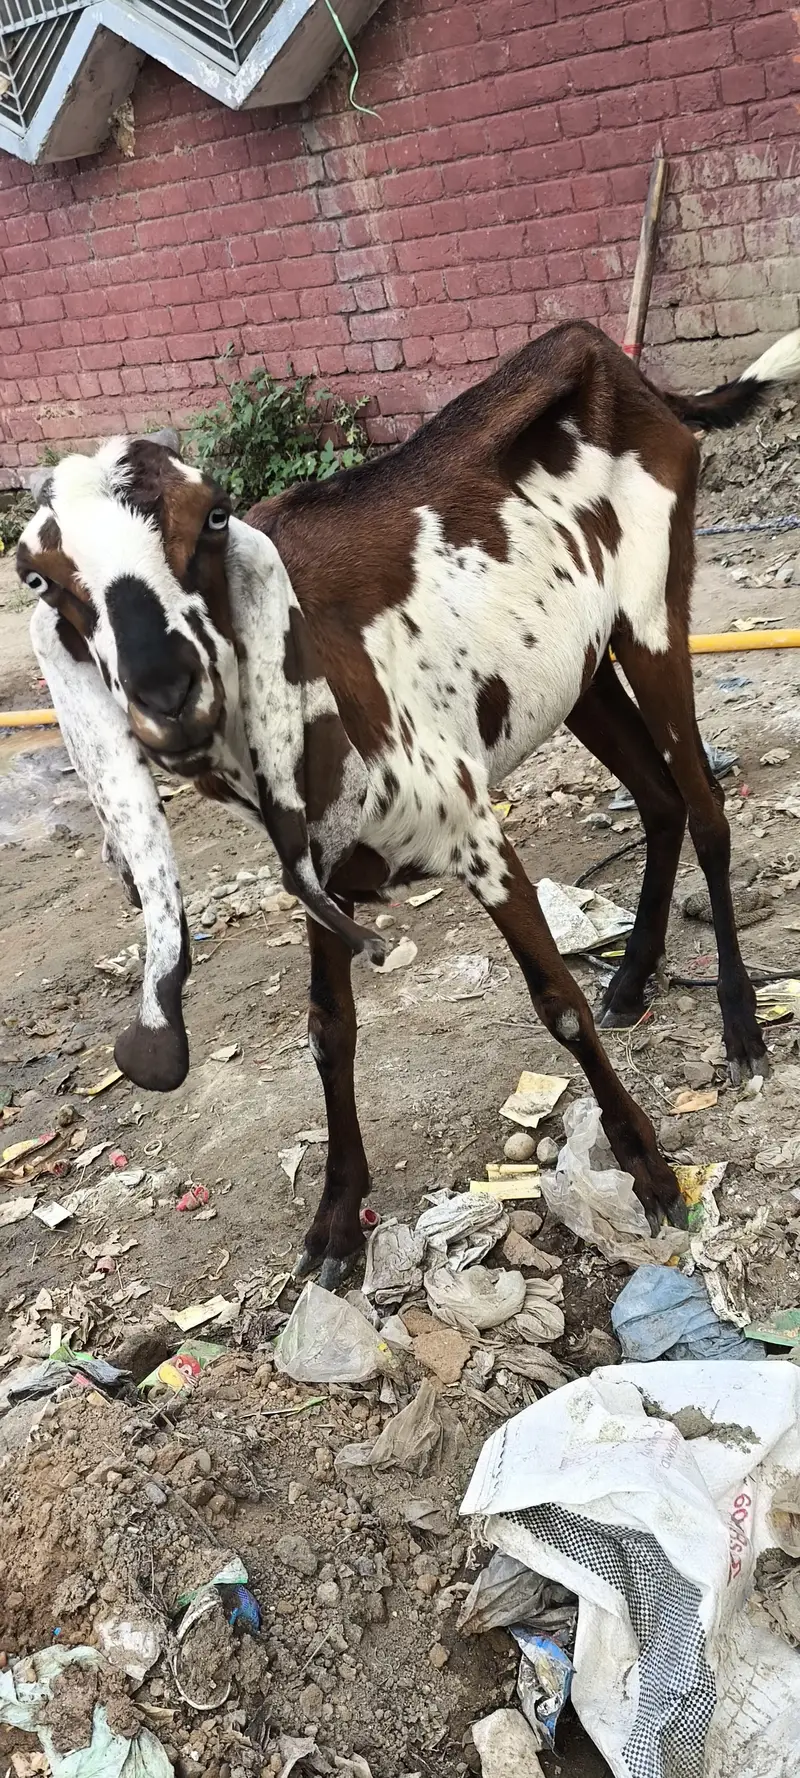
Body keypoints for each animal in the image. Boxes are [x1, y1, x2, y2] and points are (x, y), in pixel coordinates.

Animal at [18, 320, 800, 1287]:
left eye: (215, 516)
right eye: (39, 578)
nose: (168, 693)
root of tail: (618, 364)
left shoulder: (472, 828)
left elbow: (555, 998)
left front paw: (650, 1169)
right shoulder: (319, 872)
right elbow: (329, 1030)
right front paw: (336, 1221)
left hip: (654, 612)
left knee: (704, 806)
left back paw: (741, 1026)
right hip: (577, 675)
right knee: (656, 802)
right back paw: (630, 978)